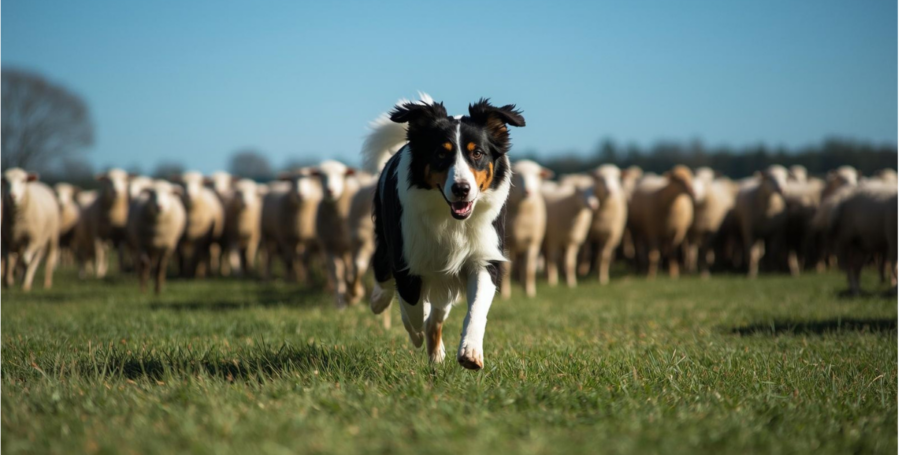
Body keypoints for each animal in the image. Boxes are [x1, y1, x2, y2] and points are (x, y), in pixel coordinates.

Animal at [312, 160, 360, 308]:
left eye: (341, 174)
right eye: (321, 175)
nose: (330, 191)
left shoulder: (352, 246)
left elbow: (351, 271)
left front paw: (355, 295)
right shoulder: (328, 247)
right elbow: (337, 274)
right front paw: (340, 304)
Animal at [501, 160, 551, 298]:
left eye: (536, 175)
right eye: (517, 175)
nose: (528, 191)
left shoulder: (533, 242)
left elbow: (528, 268)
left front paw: (529, 292)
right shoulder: (507, 243)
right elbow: (506, 267)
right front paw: (505, 295)